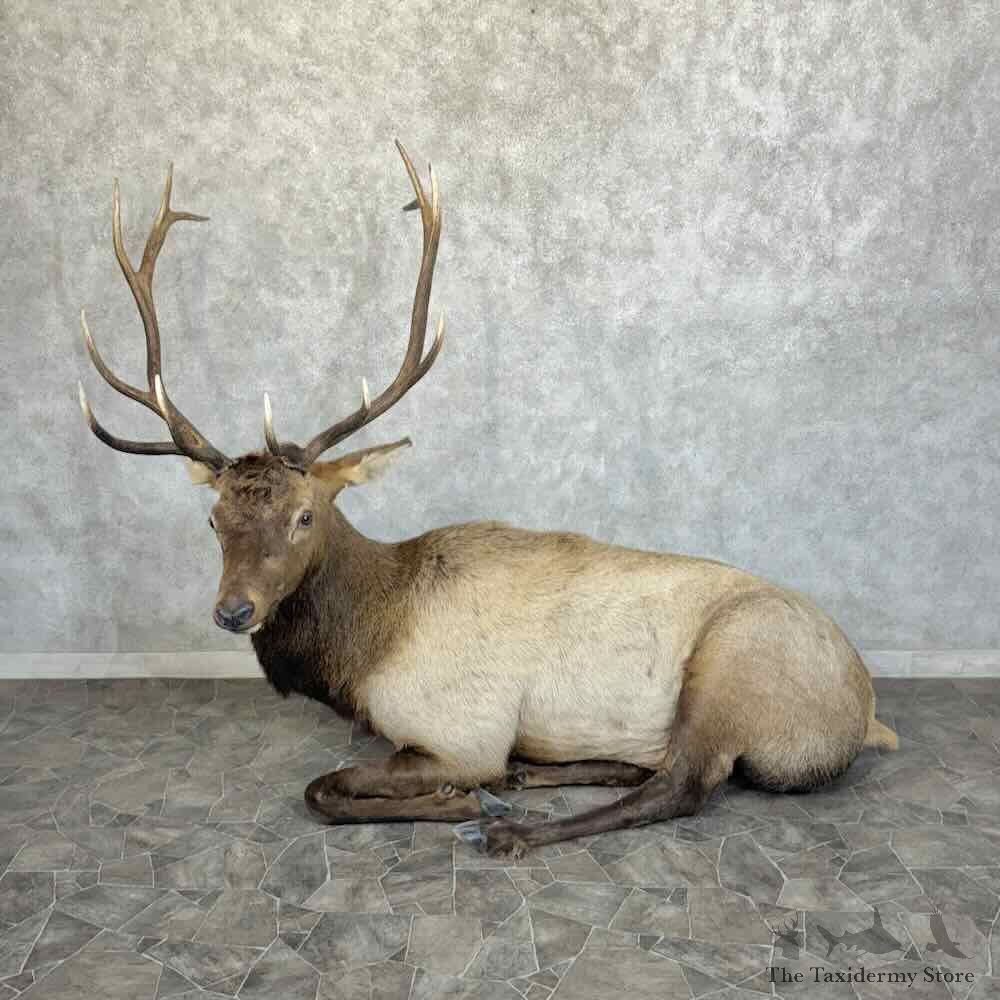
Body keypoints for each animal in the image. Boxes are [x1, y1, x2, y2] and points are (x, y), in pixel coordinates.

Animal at [77, 142, 898, 857]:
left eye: (304, 514)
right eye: (214, 519)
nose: (233, 609)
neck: (362, 650)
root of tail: (865, 716)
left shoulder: (460, 731)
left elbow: (324, 789)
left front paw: (461, 802)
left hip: (735, 660)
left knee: (682, 784)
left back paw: (513, 827)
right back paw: (545, 772)